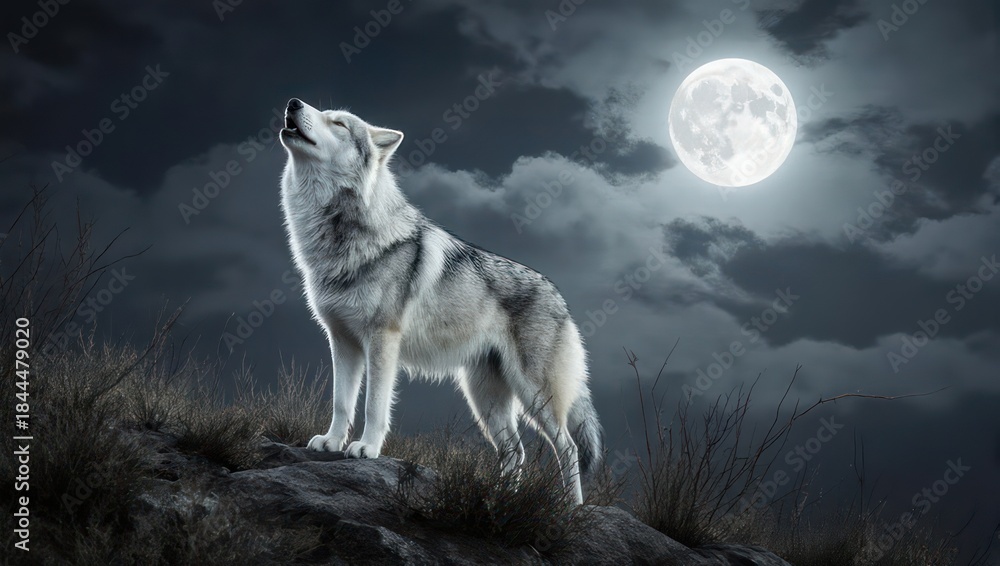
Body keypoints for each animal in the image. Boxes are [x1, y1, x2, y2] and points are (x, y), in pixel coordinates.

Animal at [278, 98, 601, 503]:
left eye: (337, 123)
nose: (293, 102)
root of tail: (560, 296)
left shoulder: (382, 341)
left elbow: (373, 404)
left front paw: (367, 448)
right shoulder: (342, 341)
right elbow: (342, 401)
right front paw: (332, 442)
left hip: (533, 394)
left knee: (567, 446)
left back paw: (569, 508)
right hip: (484, 398)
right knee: (515, 450)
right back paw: (497, 499)